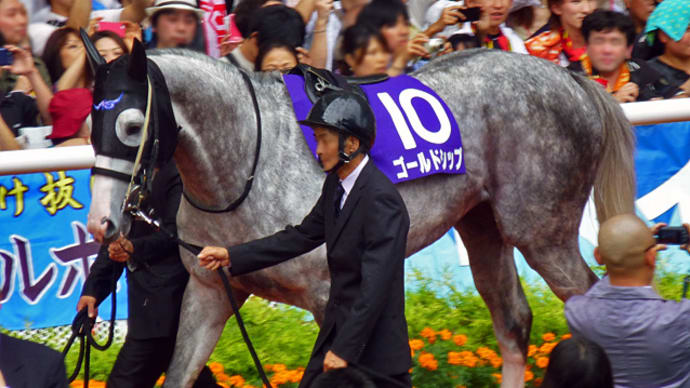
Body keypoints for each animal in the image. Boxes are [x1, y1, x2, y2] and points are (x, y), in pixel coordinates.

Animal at [86, 46, 636, 388]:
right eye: (93, 120)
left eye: (132, 125)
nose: (102, 225)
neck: (244, 162)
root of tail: (570, 76)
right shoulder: (209, 289)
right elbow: (180, 370)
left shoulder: (328, 296)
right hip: (482, 224)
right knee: (513, 321)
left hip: (542, 230)